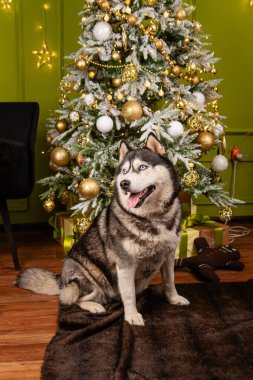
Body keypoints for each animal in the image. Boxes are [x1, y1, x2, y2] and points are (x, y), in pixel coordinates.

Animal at [15, 133, 189, 324]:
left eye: (142, 167)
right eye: (124, 171)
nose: (124, 184)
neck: (152, 217)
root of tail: (61, 280)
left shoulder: (168, 256)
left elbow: (170, 281)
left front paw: (173, 298)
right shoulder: (125, 265)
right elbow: (129, 294)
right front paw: (132, 315)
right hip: (89, 279)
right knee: (71, 299)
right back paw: (94, 306)